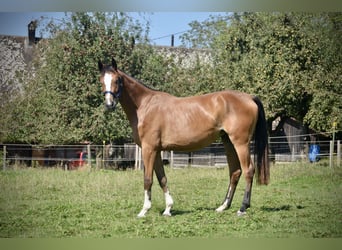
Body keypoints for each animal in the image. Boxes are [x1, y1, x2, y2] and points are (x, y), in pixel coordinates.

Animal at [97, 57, 268, 217]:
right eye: (101, 81)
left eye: (117, 80)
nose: (109, 104)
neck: (145, 106)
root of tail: (249, 97)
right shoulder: (156, 151)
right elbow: (162, 178)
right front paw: (168, 209)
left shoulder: (148, 149)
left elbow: (148, 179)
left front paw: (144, 210)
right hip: (228, 142)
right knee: (235, 172)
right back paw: (223, 206)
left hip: (241, 143)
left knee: (248, 170)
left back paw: (243, 207)